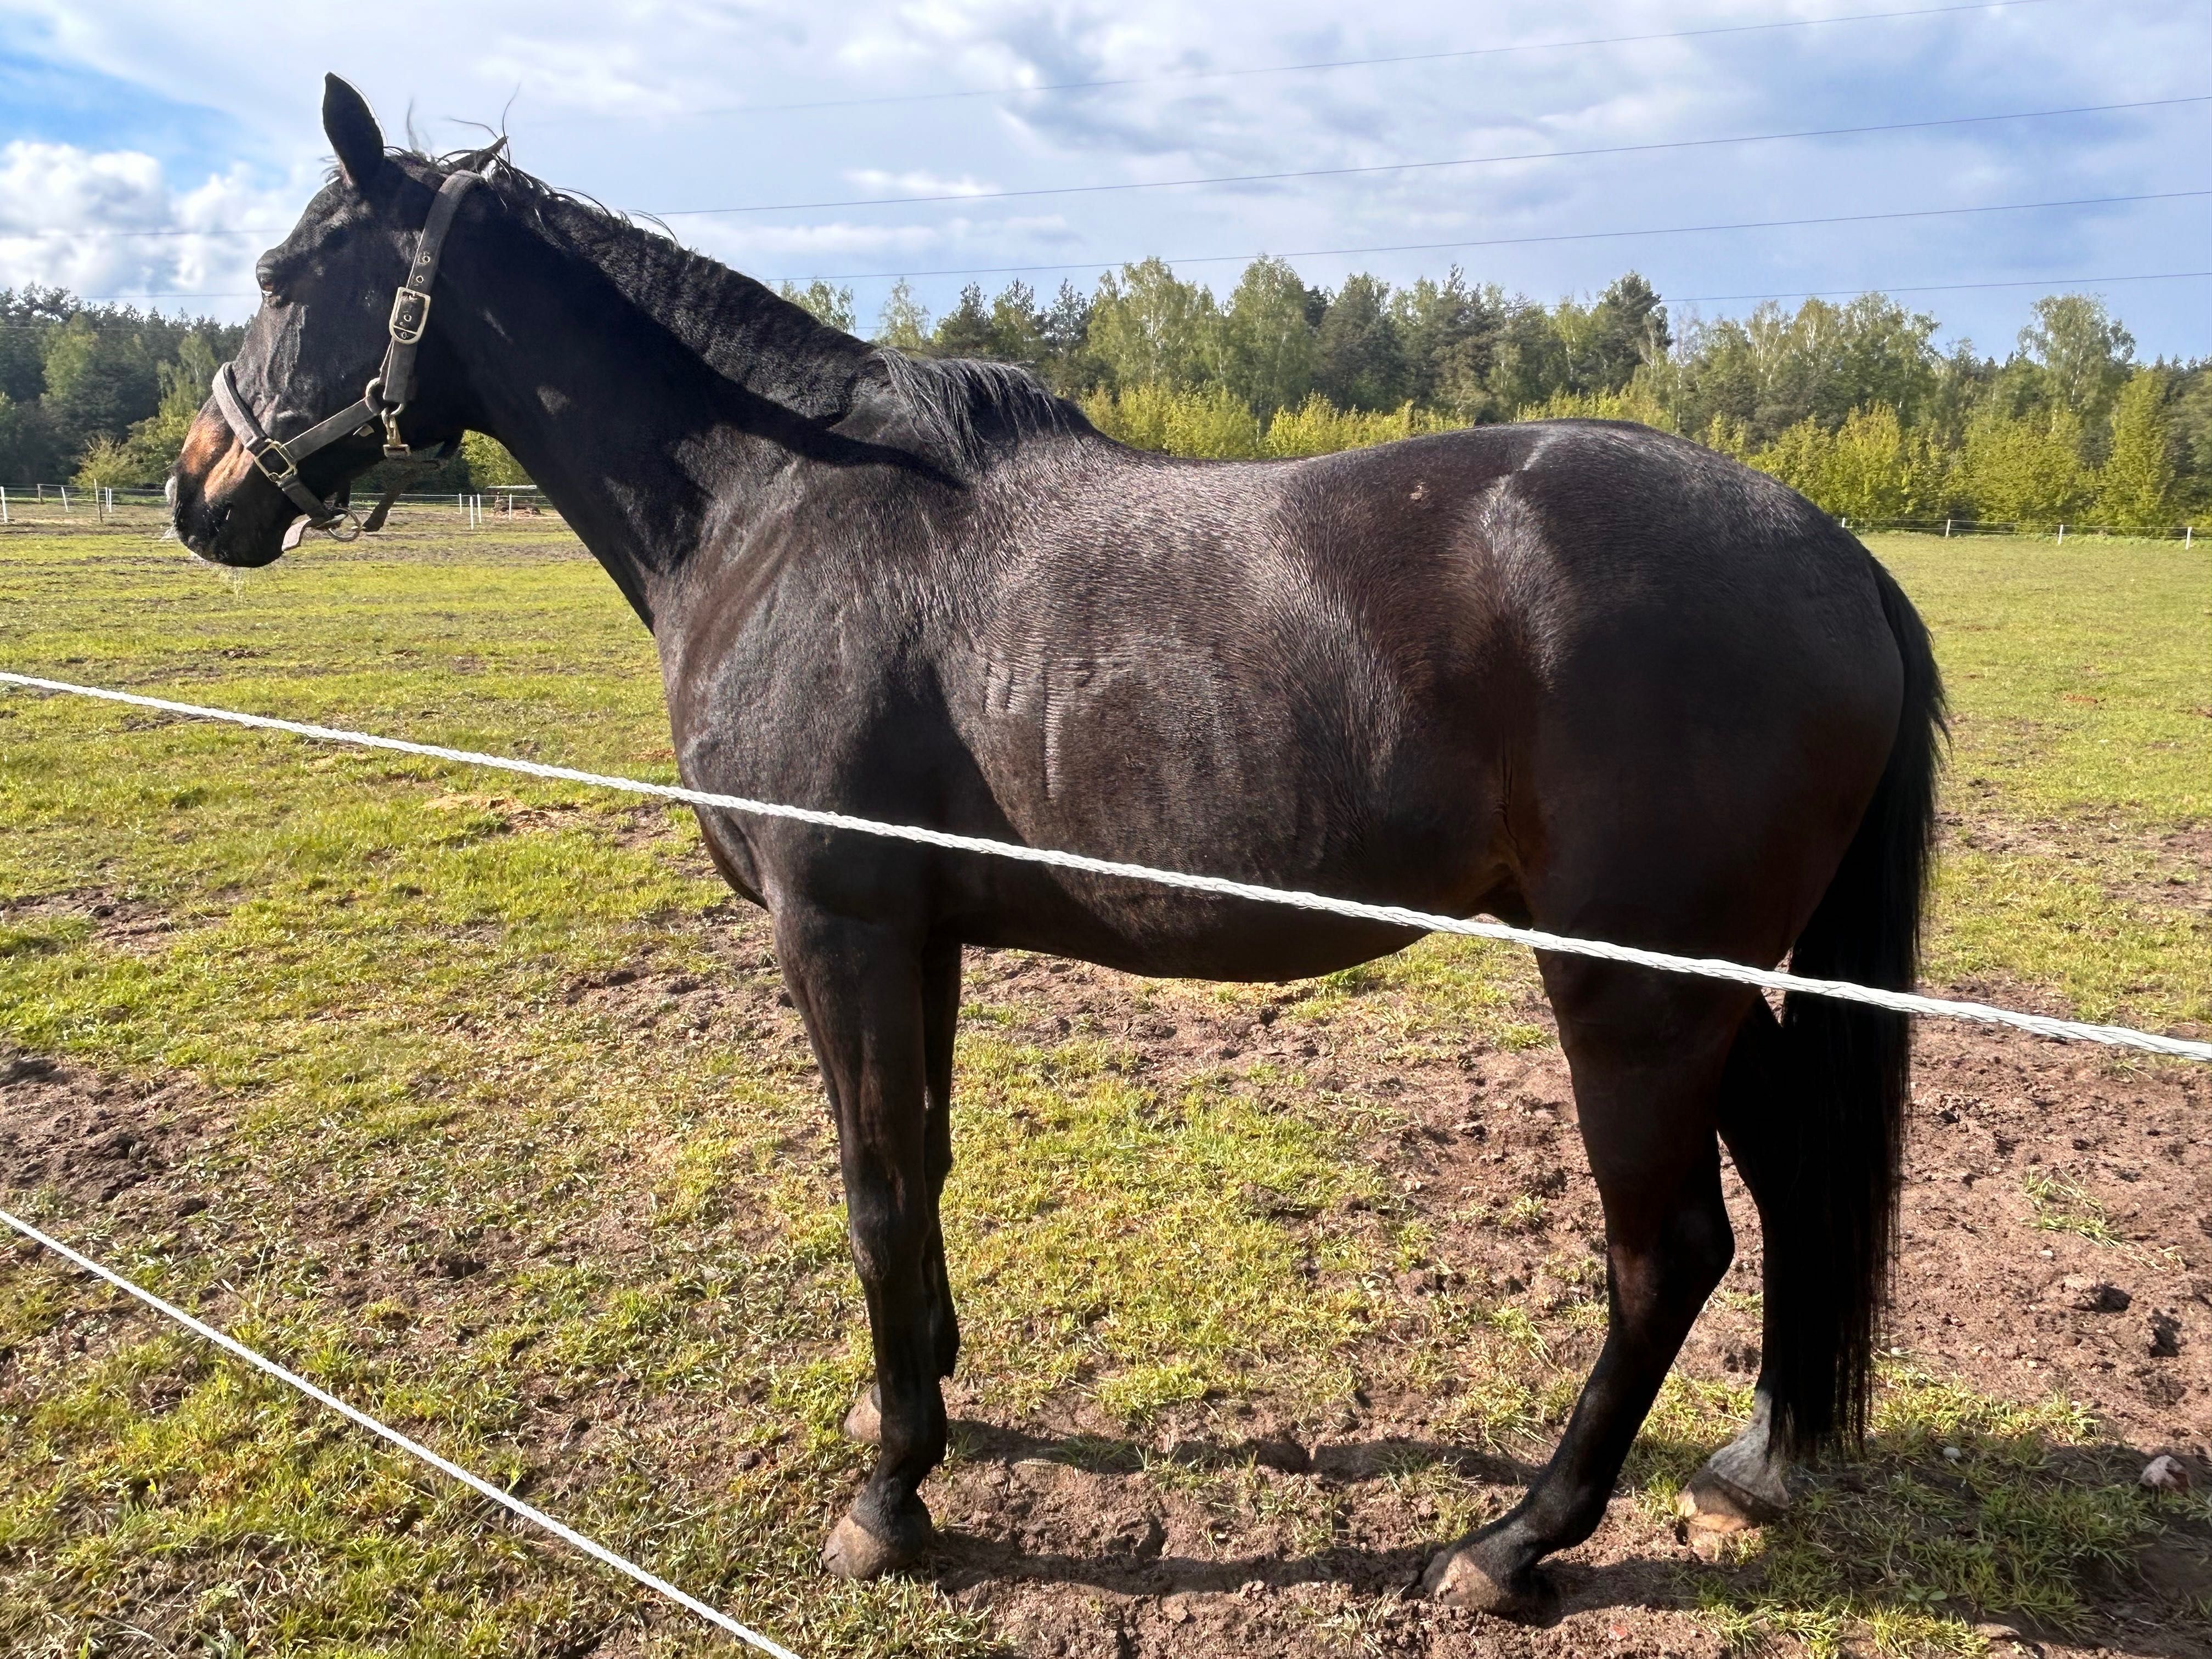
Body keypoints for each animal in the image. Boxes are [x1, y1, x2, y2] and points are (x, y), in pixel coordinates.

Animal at [172, 81, 1938, 1628]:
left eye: (279, 276)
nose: (202, 490)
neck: (781, 514)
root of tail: (1836, 554)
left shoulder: (838, 928)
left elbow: (878, 1189)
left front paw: (892, 1498)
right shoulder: (922, 935)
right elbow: (929, 1168)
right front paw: (923, 1396)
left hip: (1631, 998)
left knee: (1668, 1255)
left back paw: (1515, 1545)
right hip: (1704, 997)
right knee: (1787, 1184)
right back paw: (1756, 1461)